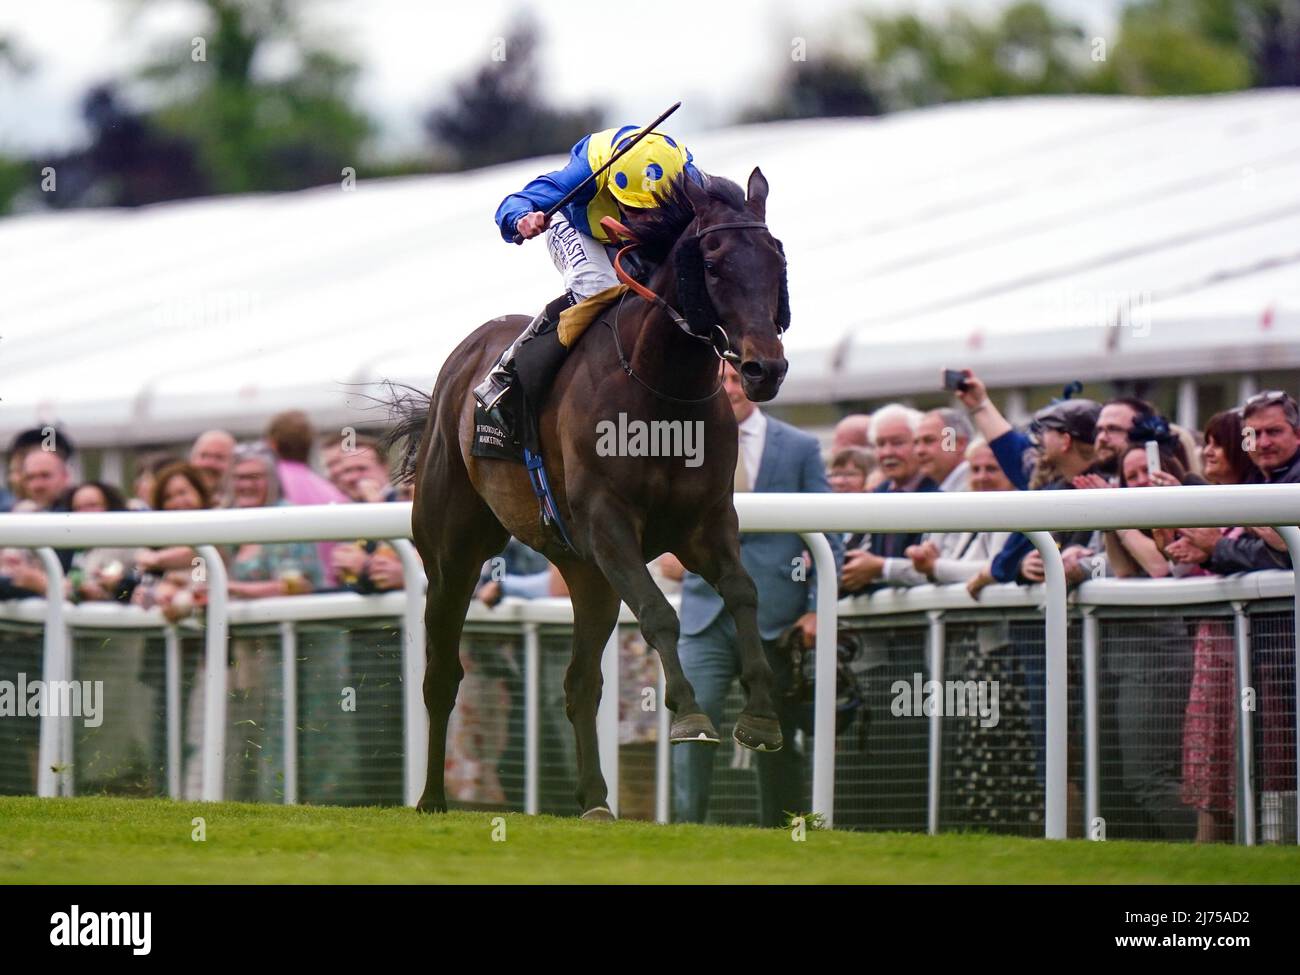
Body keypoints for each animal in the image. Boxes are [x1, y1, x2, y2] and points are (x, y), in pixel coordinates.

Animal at [384, 166, 790, 816]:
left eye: (776, 260)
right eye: (713, 263)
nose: (764, 369)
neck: (661, 389)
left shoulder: (705, 524)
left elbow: (743, 592)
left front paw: (759, 718)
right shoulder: (608, 524)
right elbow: (659, 614)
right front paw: (690, 713)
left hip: (585, 572)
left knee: (579, 683)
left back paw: (596, 799)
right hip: (453, 552)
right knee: (442, 674)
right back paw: (432, 799)